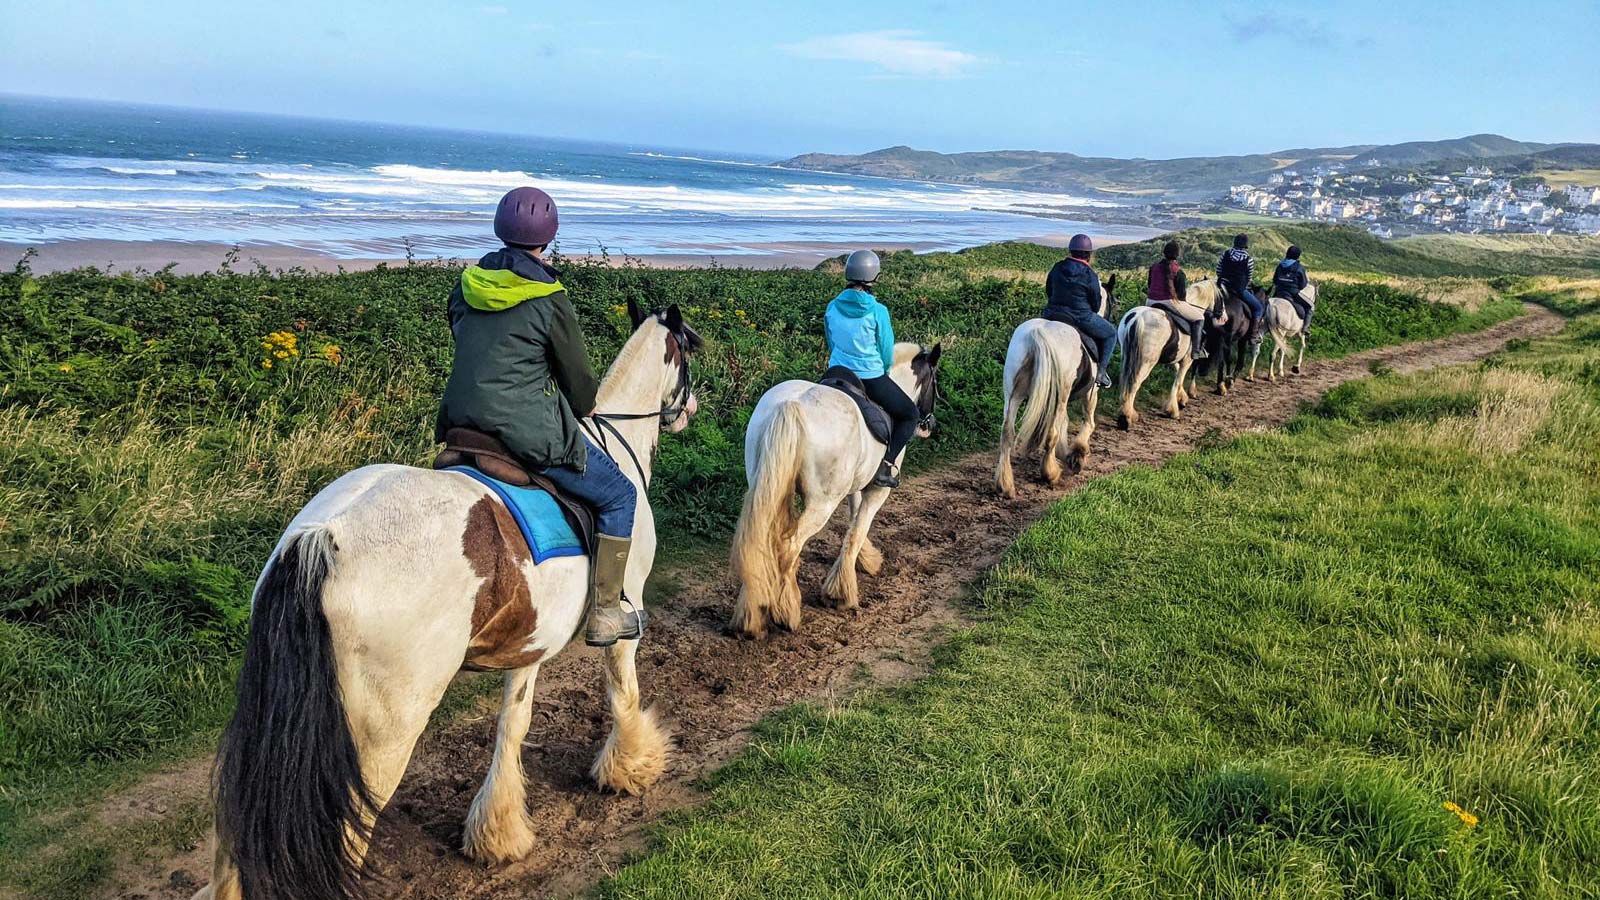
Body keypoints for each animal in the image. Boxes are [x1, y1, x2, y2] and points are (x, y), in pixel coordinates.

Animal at [192, 299, 700, 896]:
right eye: (688, 350)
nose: (689, 407)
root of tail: (323, 538)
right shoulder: (627, 606)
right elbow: (622, 688)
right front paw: (632, 767)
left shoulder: (530, 641)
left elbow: (513, 722)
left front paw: (497, 833)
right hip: (382, 732)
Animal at [732, 337, 940, 637]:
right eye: (935, 381)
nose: (929, 425)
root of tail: (791, 405)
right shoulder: (878, 490)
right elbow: (857, 529)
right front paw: (840, 593)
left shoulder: (855, 484)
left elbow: (853, 521)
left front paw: (865, 560)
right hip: (822, 503)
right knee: (789, 545)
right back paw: (786, 613)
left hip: (765, 487)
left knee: (760, 542)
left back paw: (751, 616)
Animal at [992, 273, 1120, 496]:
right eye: (1111, 301)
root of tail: (1037, 334)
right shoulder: (1091, 392)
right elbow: (1088, 421)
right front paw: (1077, 454)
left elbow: (1065, 422)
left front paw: (1066, 452)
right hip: (1059, 395)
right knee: (1050, 433)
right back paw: (1050, 474)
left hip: (1013, 393)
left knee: (1007, 432)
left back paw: (1005, 485)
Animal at [1113, 278, 1209, 429]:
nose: (1223, 317)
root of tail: (1138, 317)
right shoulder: (1187, 359)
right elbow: (1178, 379)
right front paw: (1173, 410)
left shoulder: (1174, 357)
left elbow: (1177, 373)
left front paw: (1181, 398)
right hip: (1146, 362)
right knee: (1134, 383)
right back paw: (1126, 419)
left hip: (1127, 356)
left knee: (1125, 381)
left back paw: (1128, 414)